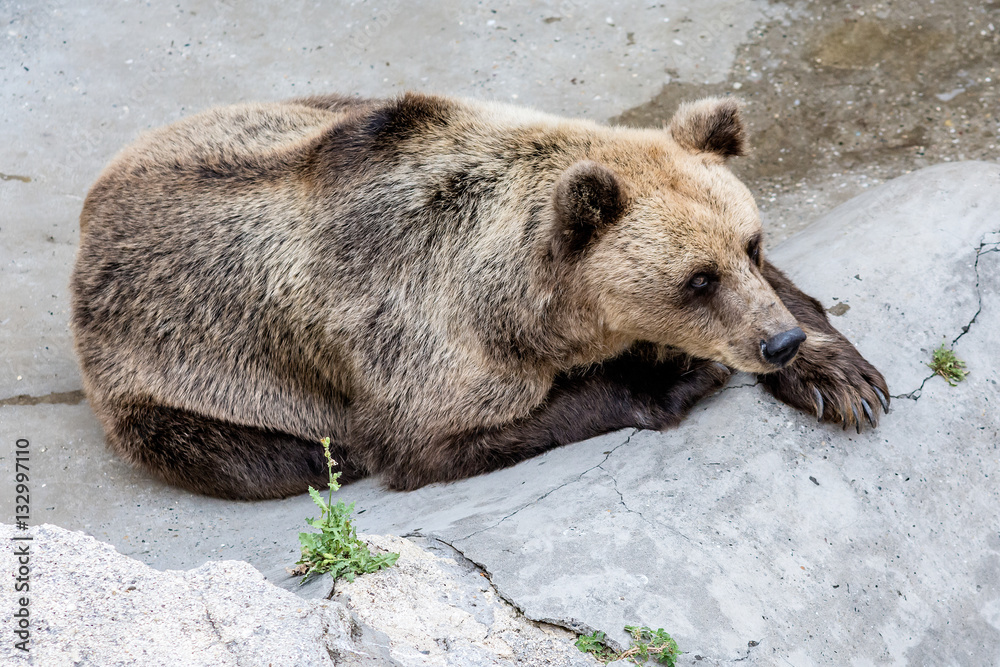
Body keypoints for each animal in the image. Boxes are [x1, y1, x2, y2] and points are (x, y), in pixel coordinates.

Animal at [70, 92, 889, 500]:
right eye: (697, 280)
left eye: (749, 244)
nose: (776, 342)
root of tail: (91, 212)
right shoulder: (414, 346)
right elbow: (438, 439)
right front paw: (672, 374)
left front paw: (841, 377)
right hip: (164, 382)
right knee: (263, 456)